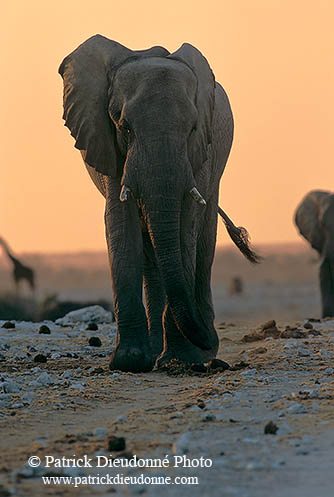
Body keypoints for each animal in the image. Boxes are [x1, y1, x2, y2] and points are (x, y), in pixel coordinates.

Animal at [59, 35, 258, 370]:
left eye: (192, 128)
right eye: (124, 127)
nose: (205, 338)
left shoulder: (200, 154)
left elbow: (185, 224)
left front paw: (181, 359)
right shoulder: (109, 146)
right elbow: (120, 223)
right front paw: (129, 362)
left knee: (203, 240)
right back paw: (157, 352)